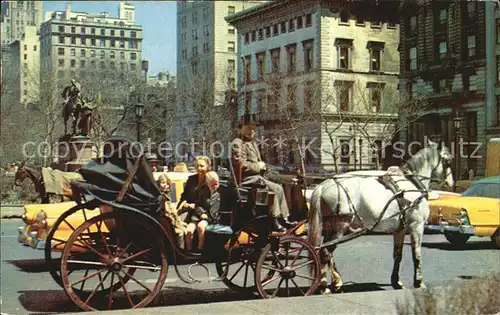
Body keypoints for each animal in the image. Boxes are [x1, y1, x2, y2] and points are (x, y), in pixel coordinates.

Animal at [306, 141, 456, 294]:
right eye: (448, 161)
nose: (451, 183)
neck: (412, 184)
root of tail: (323, 186)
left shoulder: (400, 230)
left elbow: (398, 255)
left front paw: (396, 282)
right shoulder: (416, 226)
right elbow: (417, 255)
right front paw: (419, 282)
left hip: (330, 227)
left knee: (326, 252)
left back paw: (336, 282)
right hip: (340, 226)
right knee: (325, 252)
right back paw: (324, 286)